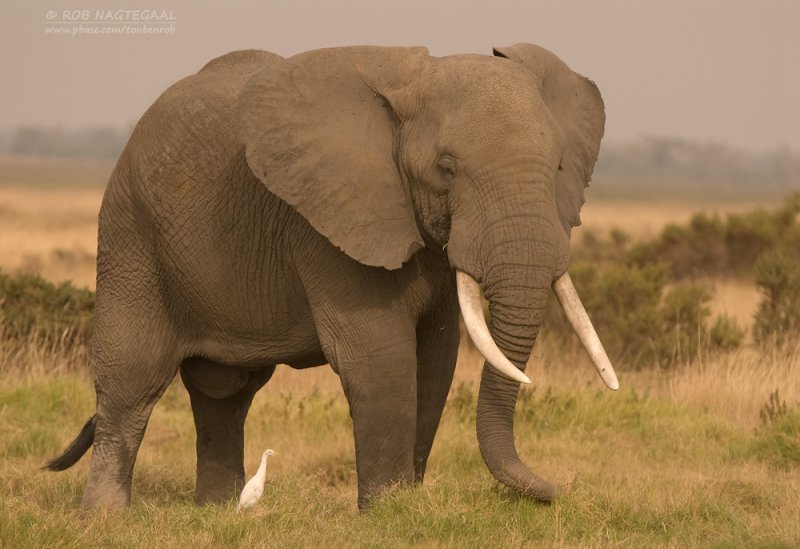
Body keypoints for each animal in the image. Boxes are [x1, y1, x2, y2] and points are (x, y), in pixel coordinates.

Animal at [48, 42, 620, 510]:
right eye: (447, 167)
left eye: (560, 168)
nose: (559, 491)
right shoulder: (329, 221)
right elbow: (381, 355)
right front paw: (390, 513)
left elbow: (436, 356)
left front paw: (406, 505)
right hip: (130, 232)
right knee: (133, 377)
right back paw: (105, 518)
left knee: (225, 390)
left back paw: (218, 510)